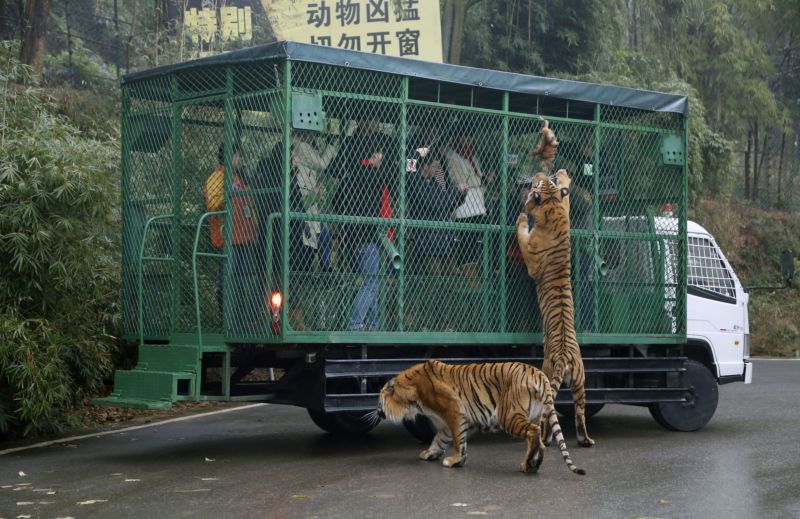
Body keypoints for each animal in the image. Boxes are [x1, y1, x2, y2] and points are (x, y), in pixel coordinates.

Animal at [372, 362, 584, 476]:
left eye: (379, 398)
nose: (376, 411)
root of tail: (539, 373)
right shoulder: (452, 423)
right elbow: (441, 440)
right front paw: (430, 454)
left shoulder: (453, 411)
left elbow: (458, 440)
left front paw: (454, 460)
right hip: (534, 415)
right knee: (539, 440)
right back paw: (532, 464)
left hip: (509, 415)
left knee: (534, 433)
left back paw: (528, 465)